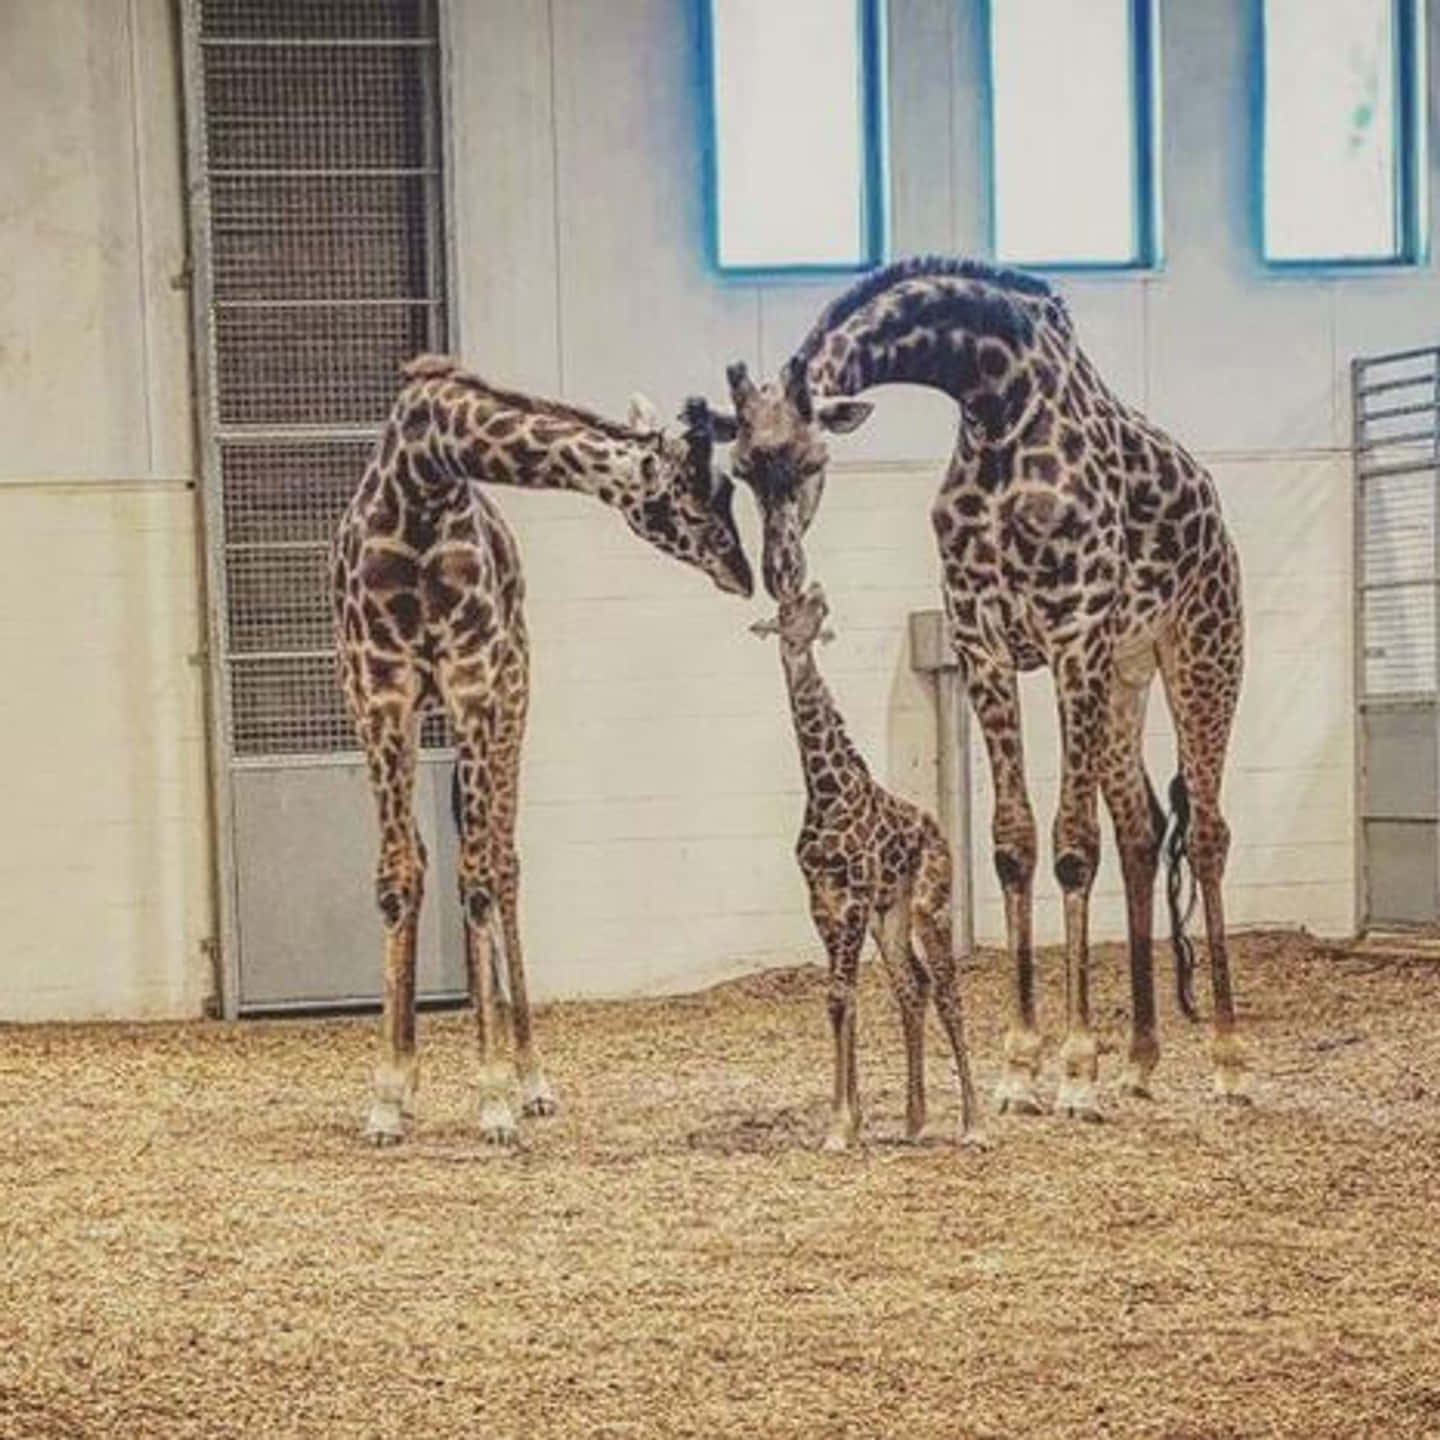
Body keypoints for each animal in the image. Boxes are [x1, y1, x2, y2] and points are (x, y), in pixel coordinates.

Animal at [332, 354, 753, 1146]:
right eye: (687, 500)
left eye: (727, 489)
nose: (745, 574)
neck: (422, 476)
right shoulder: (377, 690)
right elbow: (398, 876)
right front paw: (387, 1096)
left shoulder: (474, 680)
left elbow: (479, 876)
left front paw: (495, 1096)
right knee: (445, 856)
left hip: (515, 693)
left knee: (502, 861)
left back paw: (529, 1078)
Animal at [751, 579, 984, 1151]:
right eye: (787, 609)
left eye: (807, 604)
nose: (816, 590)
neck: (827, 789)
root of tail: (939, 829)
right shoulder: (824, 900)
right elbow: (843, 997)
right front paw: (849, 1120)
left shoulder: (853, 893)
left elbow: (840, 994)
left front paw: (839, 1127)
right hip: (889, 914)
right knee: (912, 984)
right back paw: (915, 1120)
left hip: (927, 904)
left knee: (947, 990)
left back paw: (974, 1124)